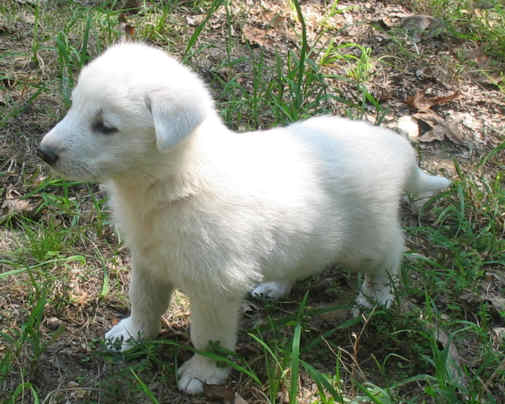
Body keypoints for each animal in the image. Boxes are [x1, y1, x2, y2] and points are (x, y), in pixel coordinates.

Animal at [38, 42, 448, 392]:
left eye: (105, 126)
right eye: (74, 106)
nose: (44, 152)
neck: (176, 181)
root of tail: (397, 149)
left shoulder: (215, 287)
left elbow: (208, 336)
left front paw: (203, 373)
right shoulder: (149, 262)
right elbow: (144, 302)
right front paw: (132, 335)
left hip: (367, 239)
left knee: (391, 254)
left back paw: (376, 298)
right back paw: (275, 286)